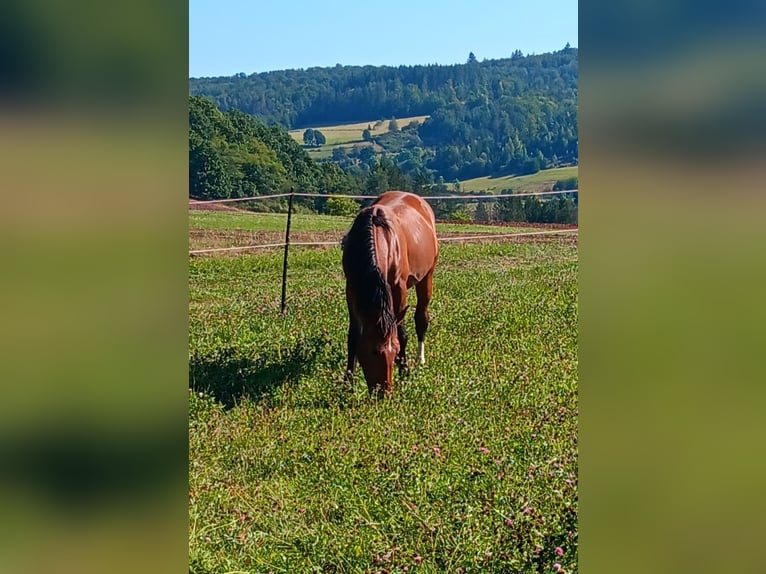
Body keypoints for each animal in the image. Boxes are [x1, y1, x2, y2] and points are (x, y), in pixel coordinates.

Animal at [342, 191, 438, 398]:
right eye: (373, 352)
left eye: (394, 351)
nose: (384, 393)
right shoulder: (351, 289)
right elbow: (353, 336)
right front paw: (348, 384)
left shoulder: (398, 288)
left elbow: (401, 331)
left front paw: (404, 370)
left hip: (427, 275)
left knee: (421, 318)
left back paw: (420, 359)